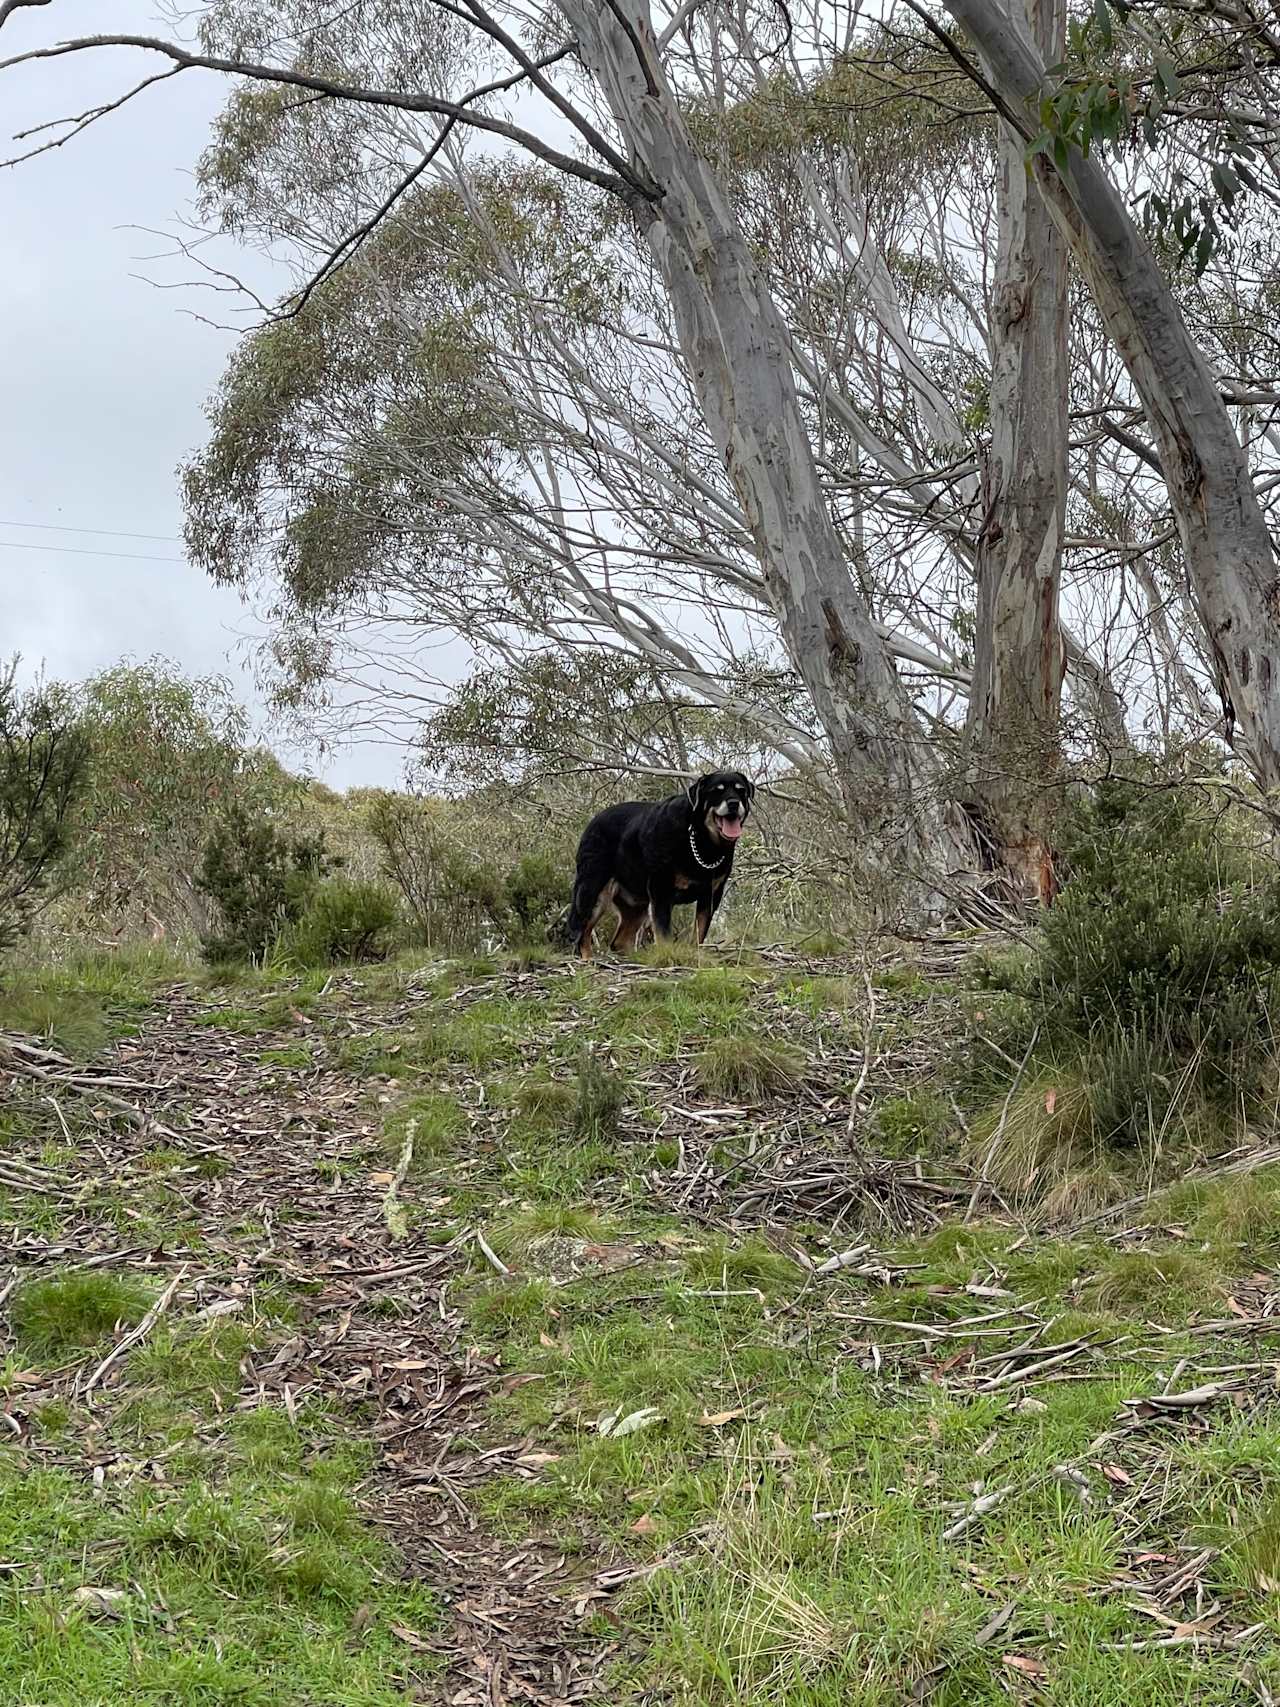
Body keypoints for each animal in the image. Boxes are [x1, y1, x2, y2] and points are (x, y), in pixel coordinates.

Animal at [566, 774, 757, 962]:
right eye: (717, 791)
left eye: (741, 791)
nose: (733, 803)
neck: (702, 842)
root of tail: (593, 821)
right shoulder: (661, 891)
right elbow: (664, 934)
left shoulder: (710, 895)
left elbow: (699, 932)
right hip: (592, 891)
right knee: (581, 932)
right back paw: (588, 960)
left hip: (635, 905)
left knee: (619, 941)